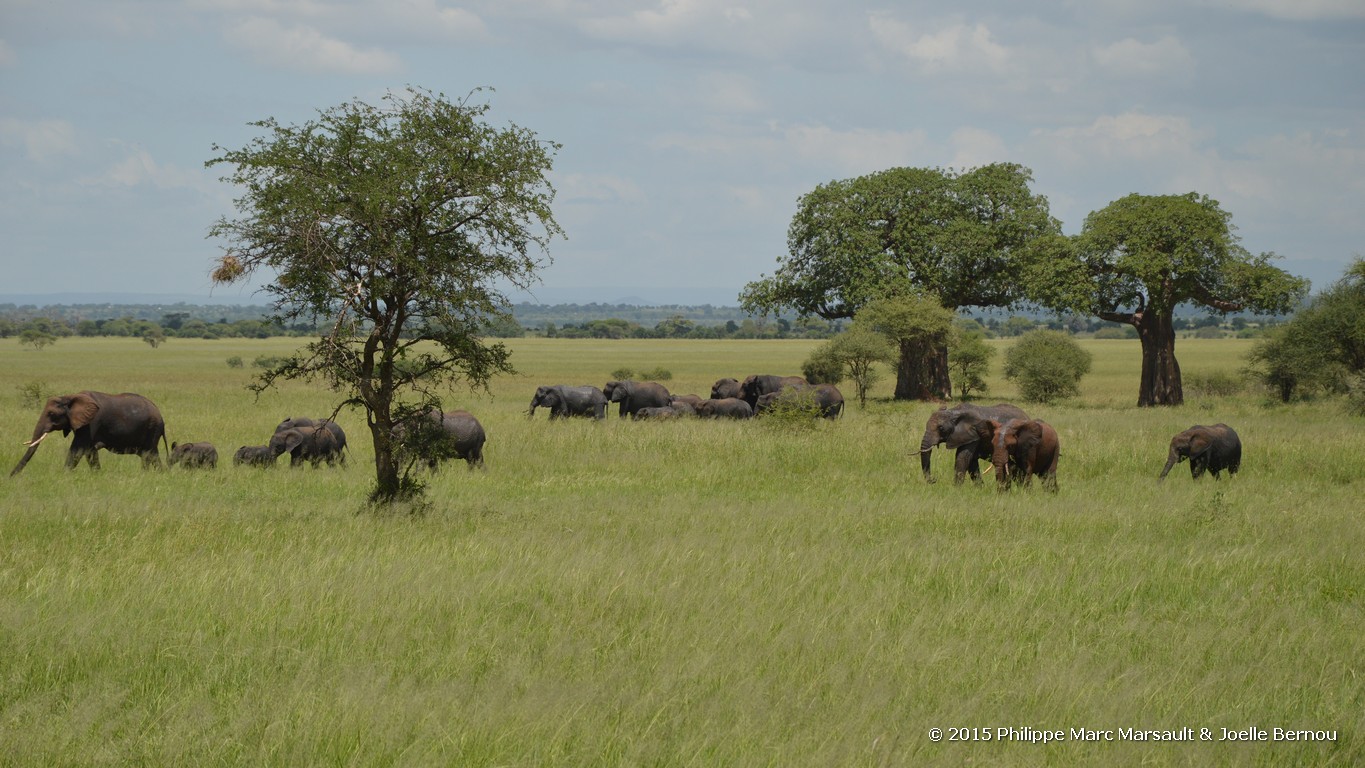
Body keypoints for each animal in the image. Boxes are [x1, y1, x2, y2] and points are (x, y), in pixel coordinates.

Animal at [11, 392, 167, 477]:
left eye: (51, 414)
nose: (10, 477)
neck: (69, 396)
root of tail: (160, 415)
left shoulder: (91, 423)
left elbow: (77, 449)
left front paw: (64, 475)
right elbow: (90, 452)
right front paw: (97, 474)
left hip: (152, 429)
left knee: (149, 454)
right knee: (151, 455)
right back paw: (156, 474)